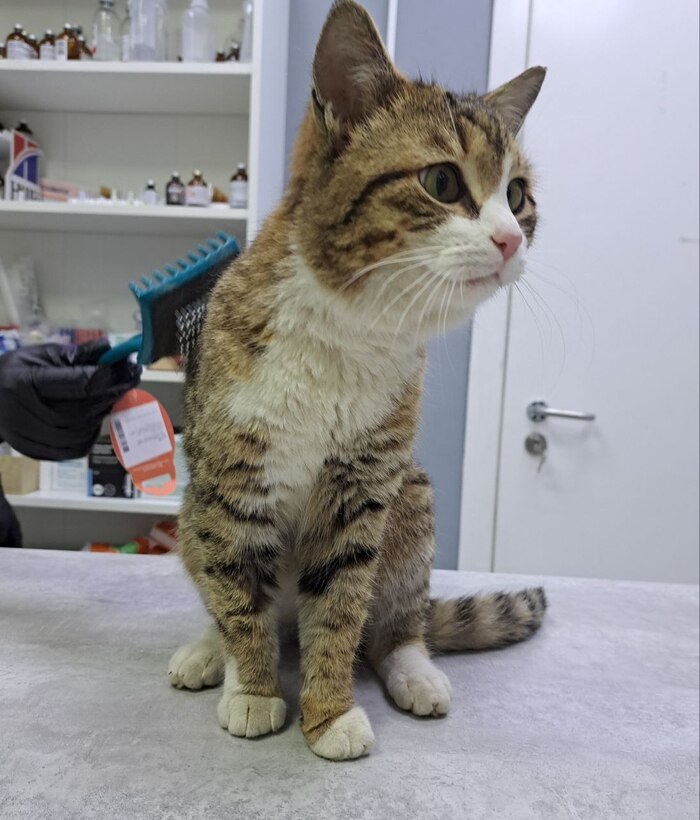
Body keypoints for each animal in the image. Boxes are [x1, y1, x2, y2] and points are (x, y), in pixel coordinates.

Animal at [168, 0, 547, 761]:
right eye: (442, 182)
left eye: (518, 195)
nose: (511, 239)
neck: (348, 334)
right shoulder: (232, 477)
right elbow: (237, 596)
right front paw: (255, 689)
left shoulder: (364, 482)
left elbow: (343, 606)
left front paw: (329, 711)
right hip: (192, 507)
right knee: (221, 585)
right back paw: (210, 653)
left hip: (413, 500)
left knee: (394, 624)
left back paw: (412, 668)